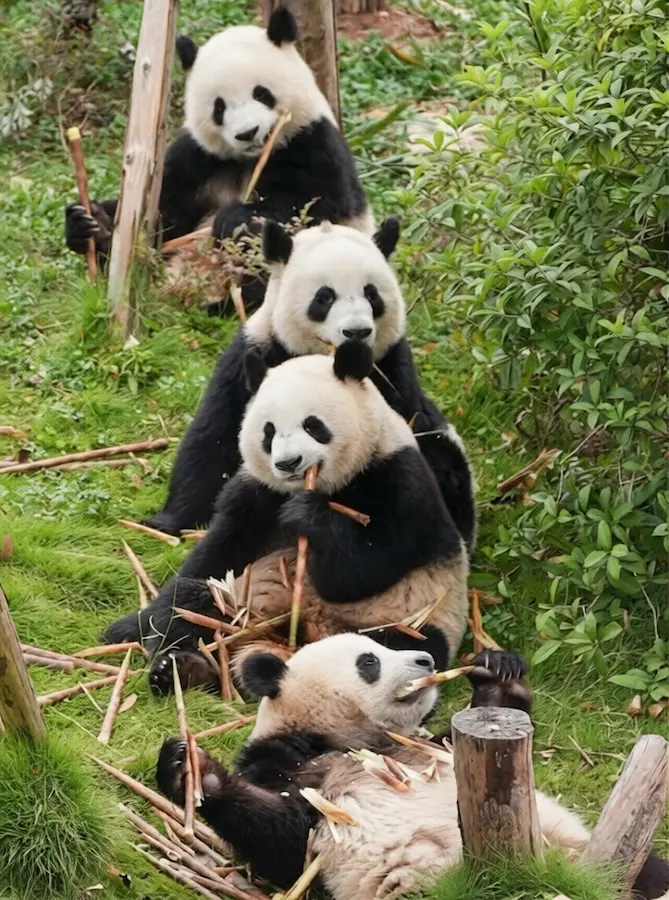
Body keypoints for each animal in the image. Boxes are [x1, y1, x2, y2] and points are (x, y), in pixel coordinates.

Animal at [64, 8, 371, 311]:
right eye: (219, 107)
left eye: (262, 93)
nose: (247, 133)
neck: (250, 158)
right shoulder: (196, 157)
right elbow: (164, 216)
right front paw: (93, 223)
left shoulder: (312, 141)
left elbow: (313, 205)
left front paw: (235, 219)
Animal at [103, 340, 470, 697]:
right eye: (269, 432)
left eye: (313, 425)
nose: (289, 463)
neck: (327, 485)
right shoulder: (259, 492)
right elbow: (218, 553)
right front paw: (143, 626)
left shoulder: (399, 478)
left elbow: (367, 567)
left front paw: (309, 517)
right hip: (237, 602)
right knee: (197, 606)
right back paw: (182, 669)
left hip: (410, 618)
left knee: (403, 645)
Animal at [143, 218, 476, 552]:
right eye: (324, 297)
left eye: (372, 295)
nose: (356, 332)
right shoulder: (256, 353)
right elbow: (214, 438)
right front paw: (167, 523)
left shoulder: (392, 369)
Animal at [156, 635, 669, 900]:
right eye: (369, 660)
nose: (425, 658)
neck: (359, 741)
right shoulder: (287, 762)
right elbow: (286, 843)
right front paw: (192, 770)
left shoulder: (431, 748)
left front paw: (497, 669)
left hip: (573, 850)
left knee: (644, 873)